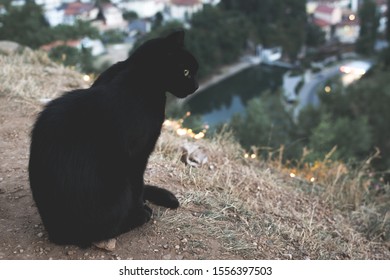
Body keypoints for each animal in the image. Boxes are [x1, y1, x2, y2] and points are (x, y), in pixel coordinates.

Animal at [28, 29, 198, 246]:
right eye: (185, 72)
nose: (196, 85)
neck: (136, 70)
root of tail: (56, 233)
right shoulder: (139, 153)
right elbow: (137, 186)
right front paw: (140, 209)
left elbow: (141, 185)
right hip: (118, 182)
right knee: (106, 228)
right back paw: (139, 216)